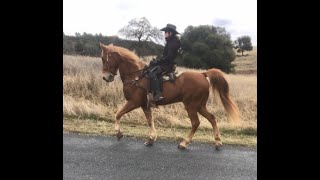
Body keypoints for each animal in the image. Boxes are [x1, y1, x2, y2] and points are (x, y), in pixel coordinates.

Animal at [100, 43, 240, 149]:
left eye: (103, 58)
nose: (105, 77)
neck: (136, 76)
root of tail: (202, 74)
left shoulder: (133, 102)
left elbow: (118, 114)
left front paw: (118, 133)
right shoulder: (145, 105)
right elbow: (150, 120)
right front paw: (151, 139)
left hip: (191, 106)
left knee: (196, 123)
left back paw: (184, 143)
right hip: (200, 106)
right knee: (212, 118)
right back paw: (217, 141)